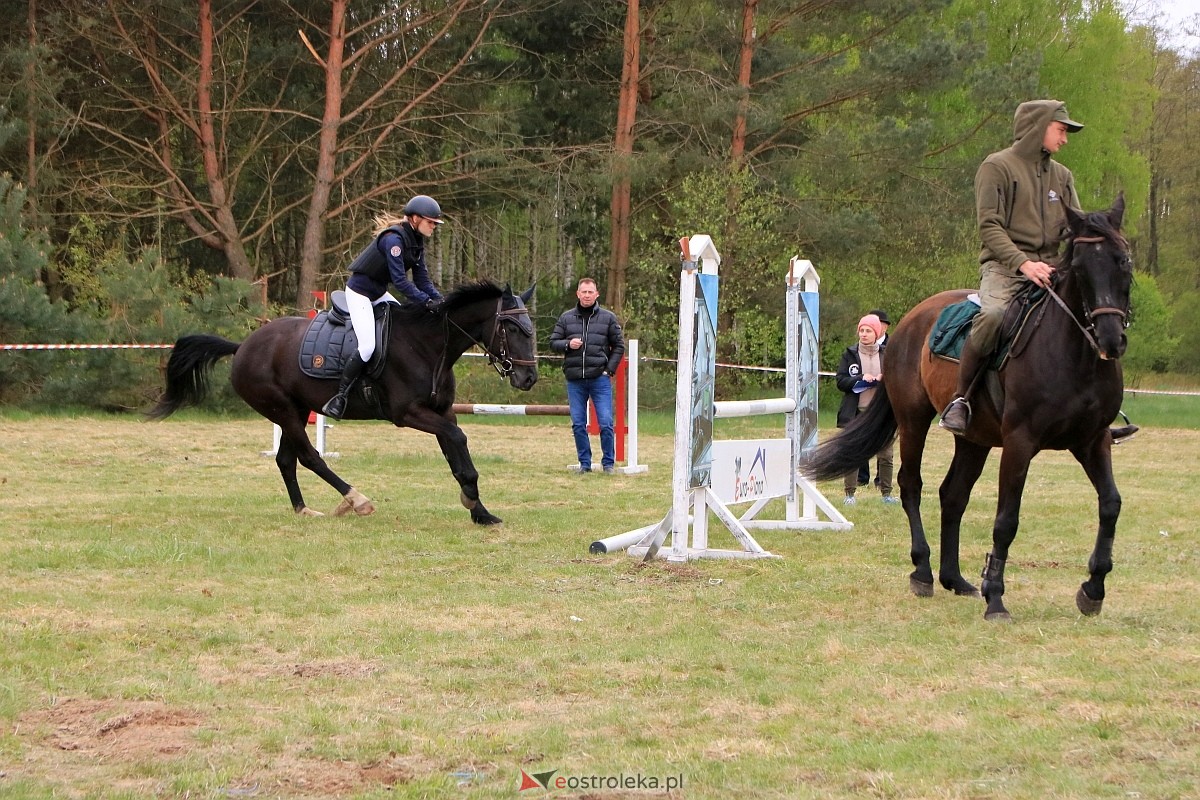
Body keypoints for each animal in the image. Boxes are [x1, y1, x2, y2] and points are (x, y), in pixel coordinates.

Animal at [150, 281, 540, 525]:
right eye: (513, 329)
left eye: (531, 328)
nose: (529, 378)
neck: (429, 345)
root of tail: (243, 346)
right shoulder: (408, 414)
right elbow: (458, 441)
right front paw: (472, 502)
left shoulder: (442, 412)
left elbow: (458, 457)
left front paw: (480, 511)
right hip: (283, 410)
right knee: (310, 457)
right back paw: (356, 500)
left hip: (293, 410)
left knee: (285, 459)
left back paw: (303, 510)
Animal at [806, 196, 1132, 623]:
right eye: (1078, 268)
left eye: (1123, 260)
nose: (1111, 340)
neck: (1075, 355)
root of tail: (912, 319)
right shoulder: (1020, 444)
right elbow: (1006, 520)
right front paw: (996, 597)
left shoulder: (1093, 441)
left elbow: (1110, 504)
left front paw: (1093, 589)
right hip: (914, 421)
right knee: (912, 486)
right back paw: (923, 571)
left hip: (974, 439)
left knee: (953, 494)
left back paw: (954, 579)